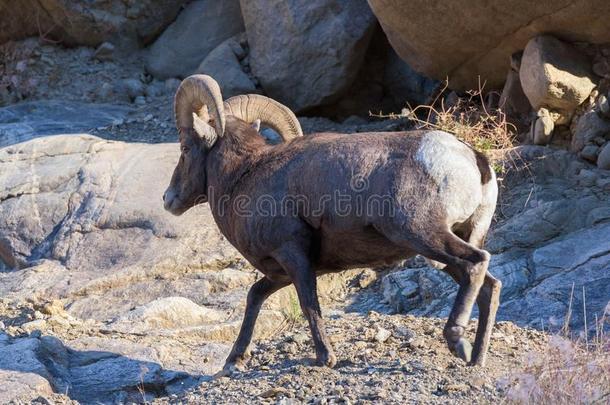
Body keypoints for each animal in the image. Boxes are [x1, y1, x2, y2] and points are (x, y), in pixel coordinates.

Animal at [162, 74, 498, 370]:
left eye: (184, 148)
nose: (168, 199)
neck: (244, 176)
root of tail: (473, 160)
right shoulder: (281, 271)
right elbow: (254, 295)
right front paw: (234, 360)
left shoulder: (293, 255)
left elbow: (309, 304)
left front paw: (325, 358)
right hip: (450, 245)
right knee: (489, 286)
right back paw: (477, 358)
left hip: (423, 235)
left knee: (476, 262)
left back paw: (457, 341)